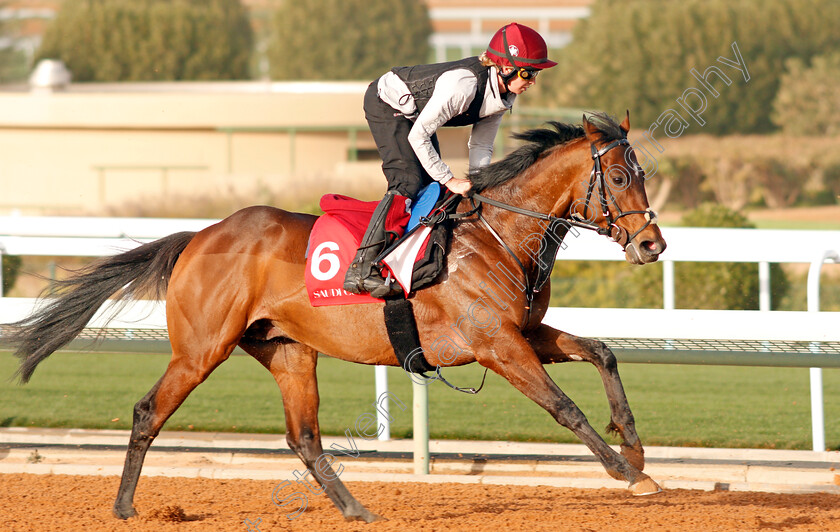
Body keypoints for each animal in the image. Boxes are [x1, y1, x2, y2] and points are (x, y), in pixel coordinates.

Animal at [3, 110, 668, 520]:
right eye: (617, 175)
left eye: (642, 173)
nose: (652, 245)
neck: (499, 235)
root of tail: (199, 235)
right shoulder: (496, 343)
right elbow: (564, 407)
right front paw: (628, 473)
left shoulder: (523, 331)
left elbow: (604, 352)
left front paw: (635, 448)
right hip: (199, 349)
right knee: (148, 411)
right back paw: (123, 507)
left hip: (288, 350)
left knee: (304, 438)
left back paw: (356, 508)